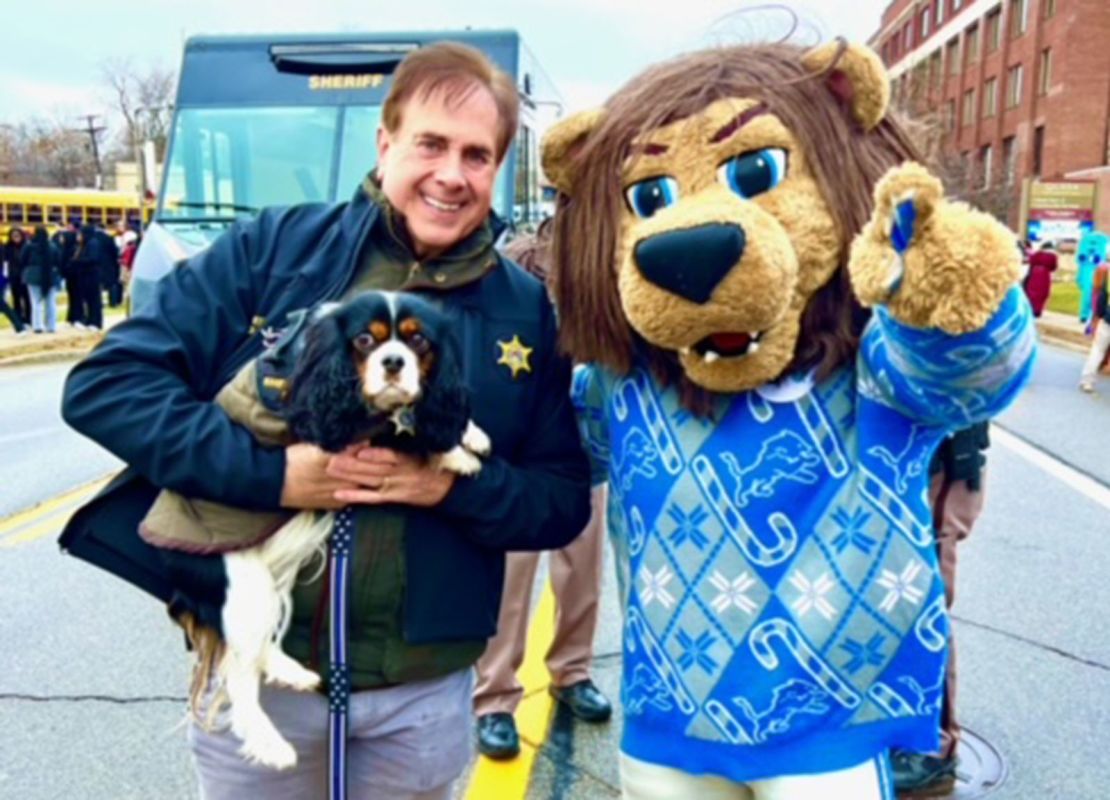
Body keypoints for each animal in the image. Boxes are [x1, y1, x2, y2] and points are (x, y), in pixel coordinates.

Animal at [159, 290, 486, 767]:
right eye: (365, 340)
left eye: (418, 341)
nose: (393, 362)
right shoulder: (341, 424)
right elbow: (403, 432)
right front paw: (456, 455)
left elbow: (423, 411)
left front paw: (472, 434)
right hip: (244, 583)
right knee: (238, 673)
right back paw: (271, 745)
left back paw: (292, 672)